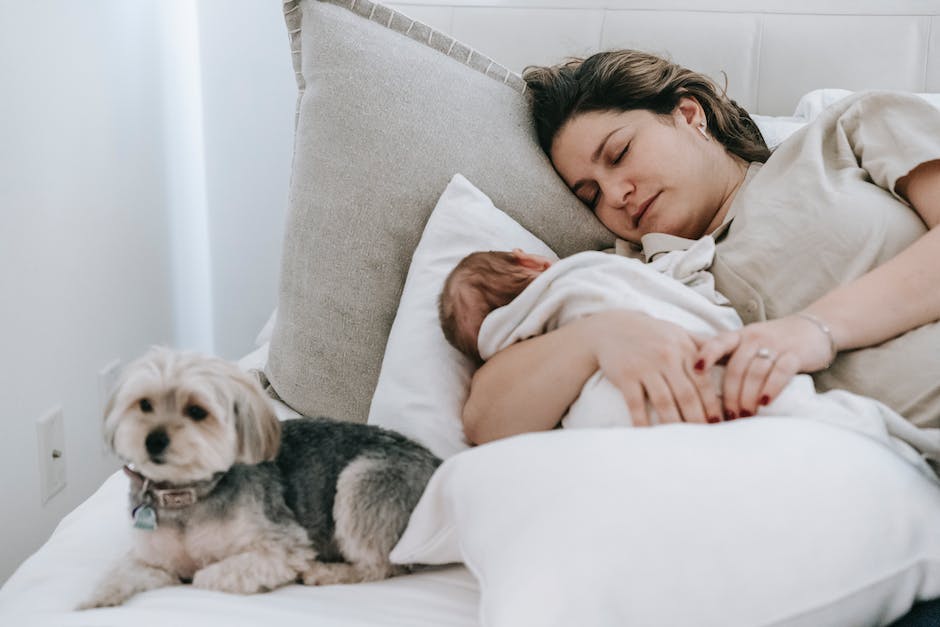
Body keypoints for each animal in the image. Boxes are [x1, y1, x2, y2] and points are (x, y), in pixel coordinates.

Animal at [80, 348, 440, 608]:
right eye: (144, 405)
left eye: (196, 411)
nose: (153, 440)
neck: (187, 494)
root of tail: (436, 461)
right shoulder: (152, 559)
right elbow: (120, 572)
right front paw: (92, 601)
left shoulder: (281, 546)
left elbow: (204, 576)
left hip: (361, 483)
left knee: (381, 565)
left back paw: (324, 572)